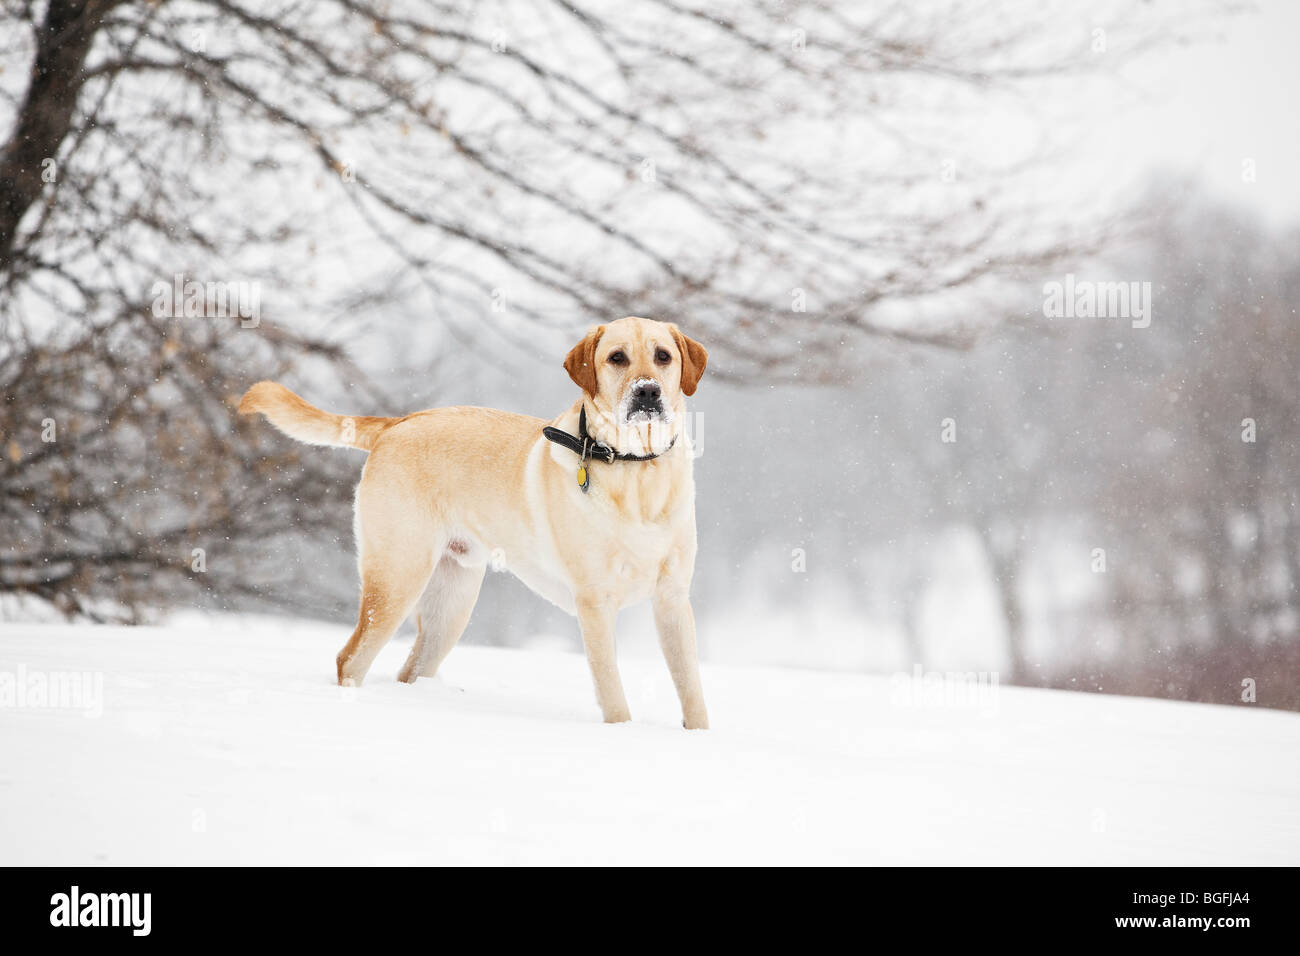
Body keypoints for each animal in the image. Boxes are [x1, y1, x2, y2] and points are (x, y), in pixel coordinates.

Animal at [244, 317, 712, 728]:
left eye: (663, 356)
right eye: (617, 357)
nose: (647, 391)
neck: (637, 470)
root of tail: (397, 423)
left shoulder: (673, 598)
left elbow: (691, 686)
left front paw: (698, 736)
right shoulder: (595, 602)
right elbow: (612, 691)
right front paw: (622, 733)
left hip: (452, 603)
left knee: (410, 668)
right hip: (397, 578)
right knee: (351, 658)